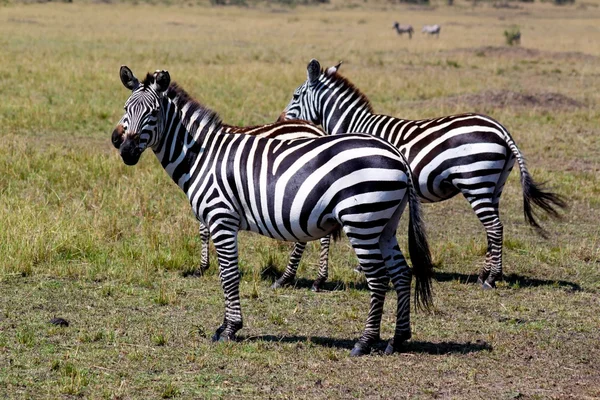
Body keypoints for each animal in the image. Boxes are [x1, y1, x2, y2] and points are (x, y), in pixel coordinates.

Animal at [278, 59, 568, 290]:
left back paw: (491, 278)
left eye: (295, 95)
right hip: (494, 185)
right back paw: (484, 273)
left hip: (475, 181)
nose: (280, 121)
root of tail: (500, 128)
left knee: (494, 227)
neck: (355, 125)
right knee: (494, 227)